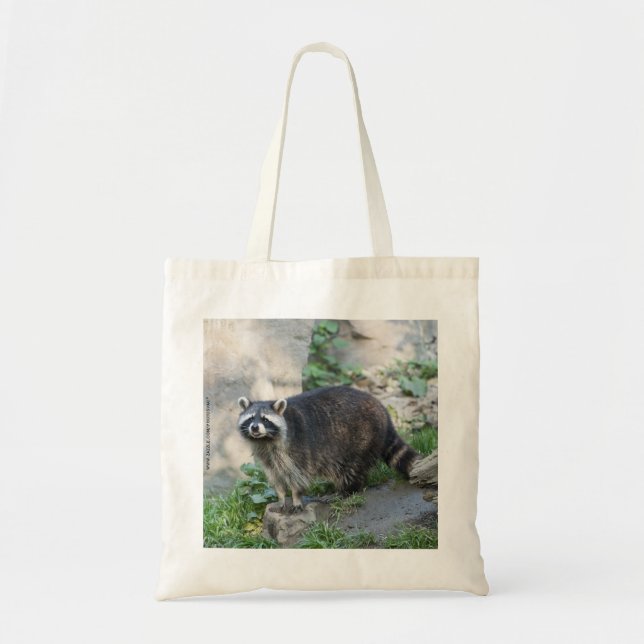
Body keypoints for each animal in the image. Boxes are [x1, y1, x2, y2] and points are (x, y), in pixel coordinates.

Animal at [237, 385, 420, 512]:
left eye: (265, 419)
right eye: (251, 418)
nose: (255, 428)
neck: (266, 440)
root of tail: (383, 411)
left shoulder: (297, 449)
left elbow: (298, 476)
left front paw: (296, 497)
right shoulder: (268, 456)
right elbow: (276, 477)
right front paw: (281, 497)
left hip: (361, 438)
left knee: (349, 469)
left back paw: (347, 490)